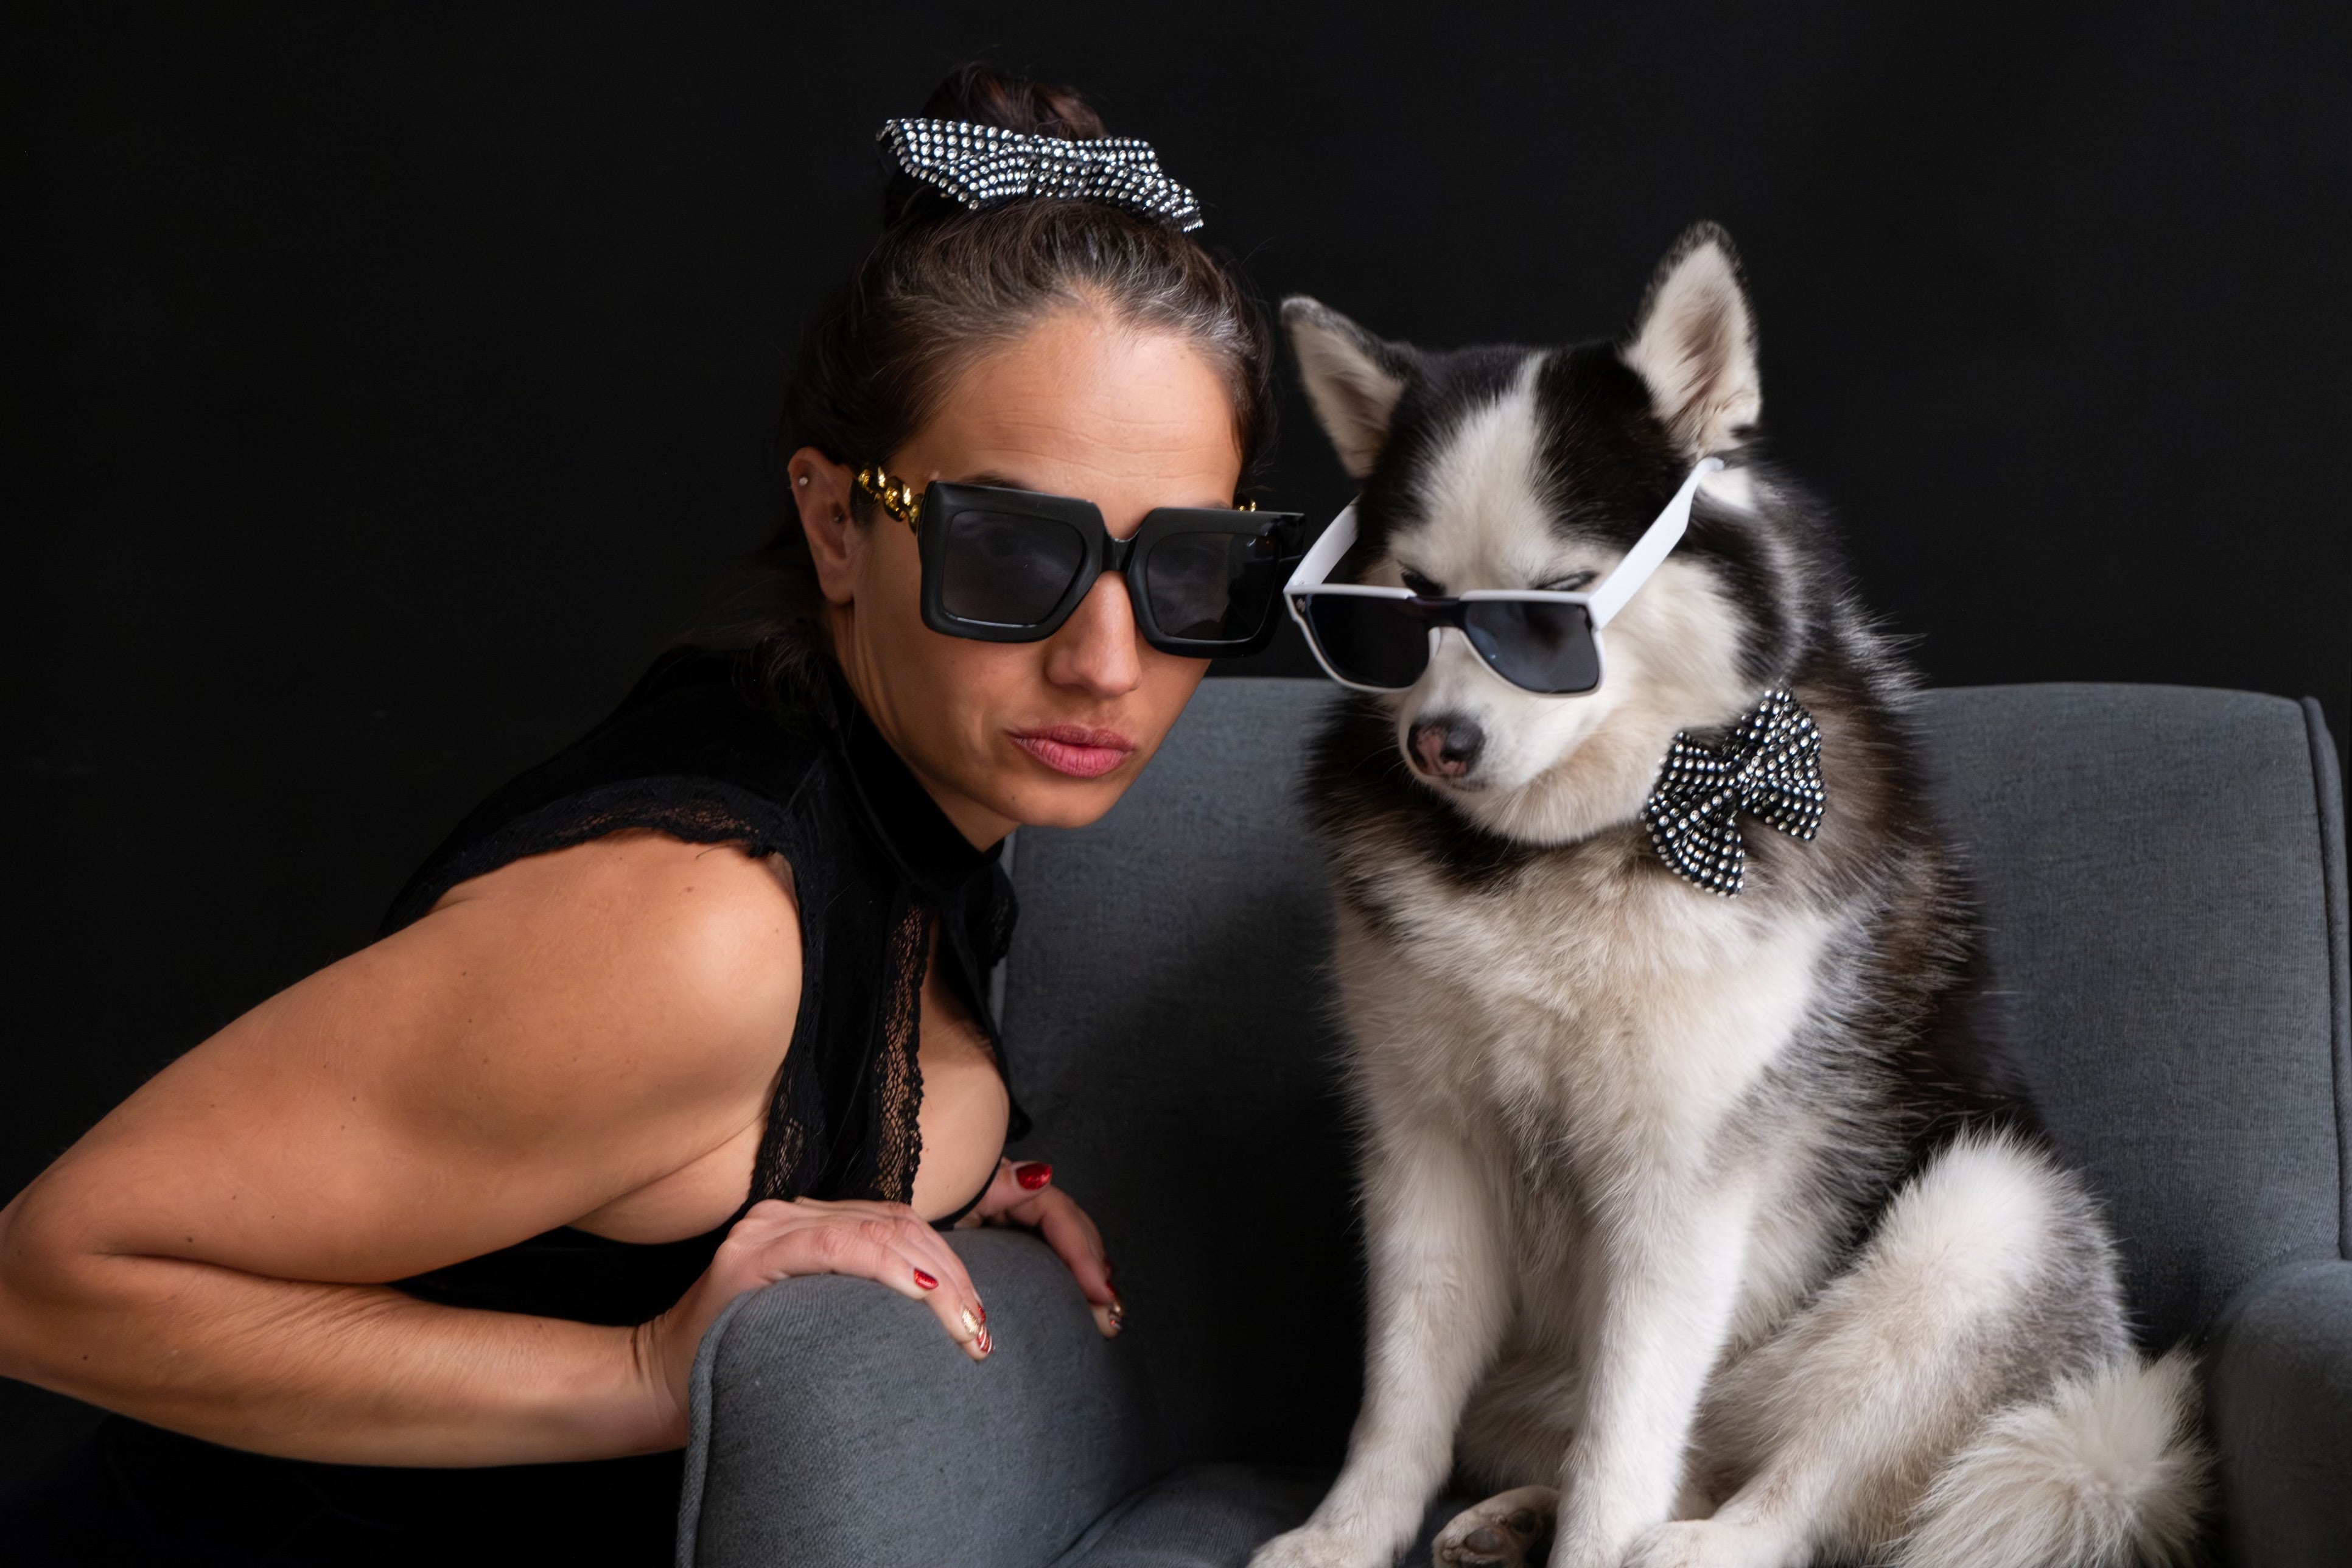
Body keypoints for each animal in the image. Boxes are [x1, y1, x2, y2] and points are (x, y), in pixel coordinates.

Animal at [1247, 224, 2208, 1568]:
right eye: (1410, 604)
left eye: (1548, 610)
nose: (1437, 744)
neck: (1568, 852)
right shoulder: (1426, 1146)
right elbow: (1402, 1386)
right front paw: (1346, 1533)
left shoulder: (1679, 1184)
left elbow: (1625, 1436)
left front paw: (1591, 1552)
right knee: (1658, 1451)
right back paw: (1510, 1516)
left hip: (1984, 1220)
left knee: (1794, 1481)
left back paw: (1703, 1540)